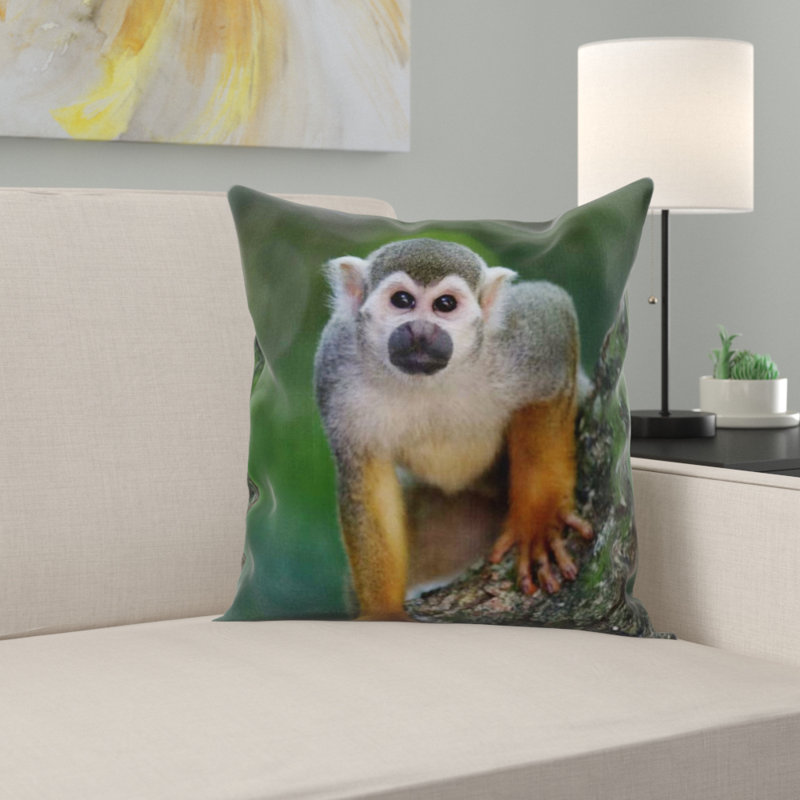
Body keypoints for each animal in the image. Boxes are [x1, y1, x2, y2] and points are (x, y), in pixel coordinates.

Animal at [314, 237, 593, 620]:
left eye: (445, 304)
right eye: (402, 300)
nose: (420, 331)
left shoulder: (521, 339)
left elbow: (553, 314)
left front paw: (539, 520)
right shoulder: (336, 365)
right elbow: (366, 478)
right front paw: (384, 612)